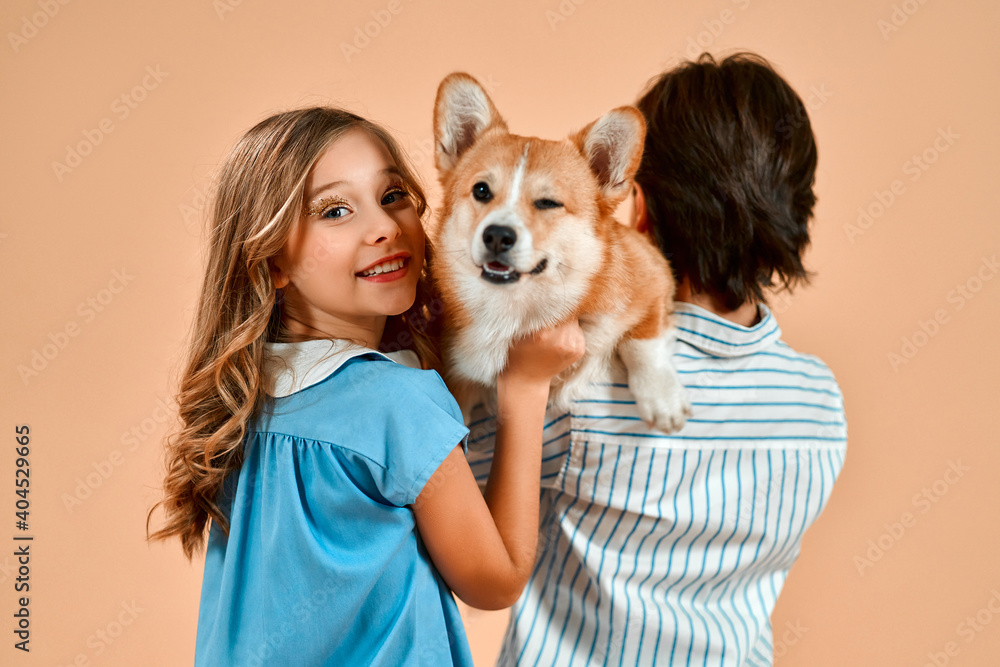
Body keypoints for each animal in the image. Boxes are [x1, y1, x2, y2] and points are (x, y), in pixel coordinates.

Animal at [426, 73, 692, 434]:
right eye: (481, 190)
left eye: (548, 202)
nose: (496, 236)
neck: (513, 310)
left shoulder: (654, 273)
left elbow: (644, 338)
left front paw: (661, 399)